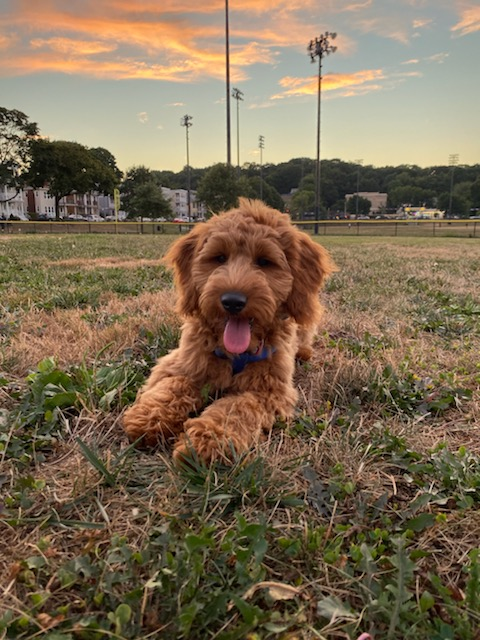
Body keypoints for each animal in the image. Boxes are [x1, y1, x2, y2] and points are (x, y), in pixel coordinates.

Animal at [124, 200, 334, 464]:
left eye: (264, 261)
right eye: (220, 257)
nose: (232, 301)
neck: (236, 353)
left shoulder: (271, 391)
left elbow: (238, 406)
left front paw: (207, 439)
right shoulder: (179, 362)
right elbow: (175, 384)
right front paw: (149, 417)